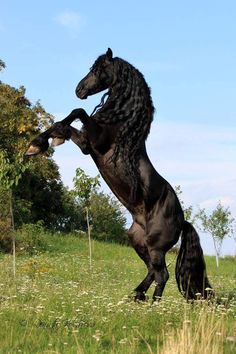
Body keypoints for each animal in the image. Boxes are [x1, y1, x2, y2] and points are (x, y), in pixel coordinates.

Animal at [26, 47, 213, 302]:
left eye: (98, 69)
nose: (79, 90)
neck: (120, 124)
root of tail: (182, 220)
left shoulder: (94, 143)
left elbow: (78, 112)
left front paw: (40, 144)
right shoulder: (86, 143)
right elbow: (65, 122)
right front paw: (41, 143)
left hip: (155, 245)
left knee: (162, 274)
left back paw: (152, 304)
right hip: (137, 239)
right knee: (152, 271)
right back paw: (136, 296)